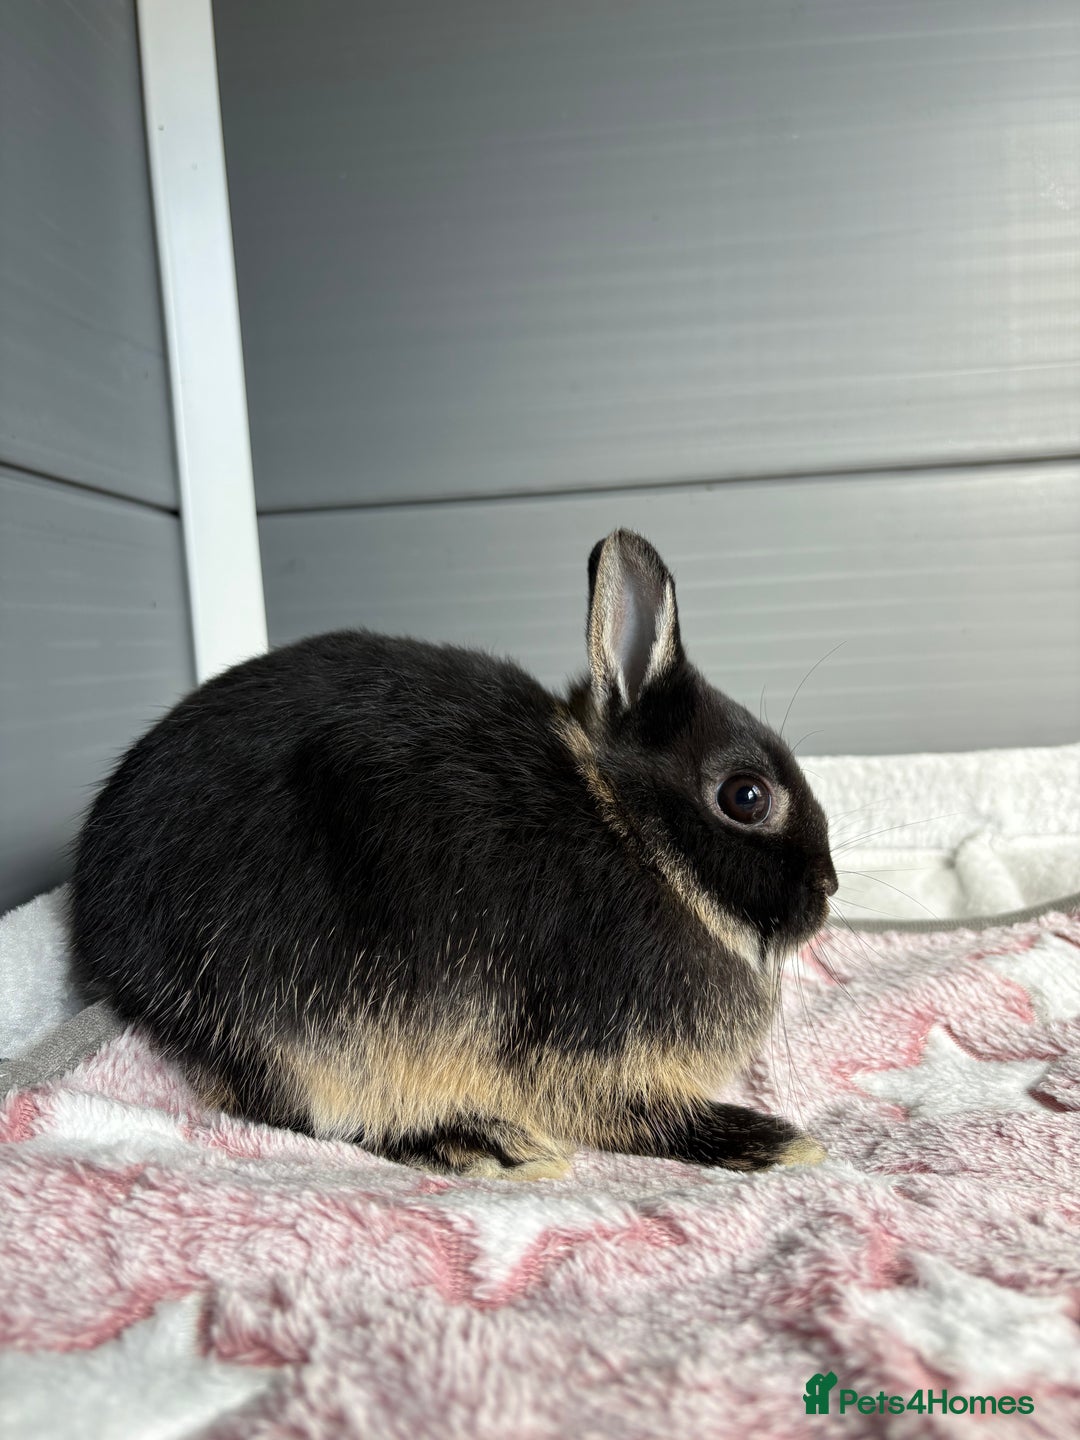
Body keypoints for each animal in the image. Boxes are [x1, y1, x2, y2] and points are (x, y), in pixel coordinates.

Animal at [71, 530, 837, 1180]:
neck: (630, 832)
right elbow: (635, 1114)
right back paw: (485, 1143)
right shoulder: (576, 1052)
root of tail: (102, 923)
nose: (827, 889)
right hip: (307, 1015)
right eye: (745, 796)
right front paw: (778, 1143)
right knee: (313, 1111)